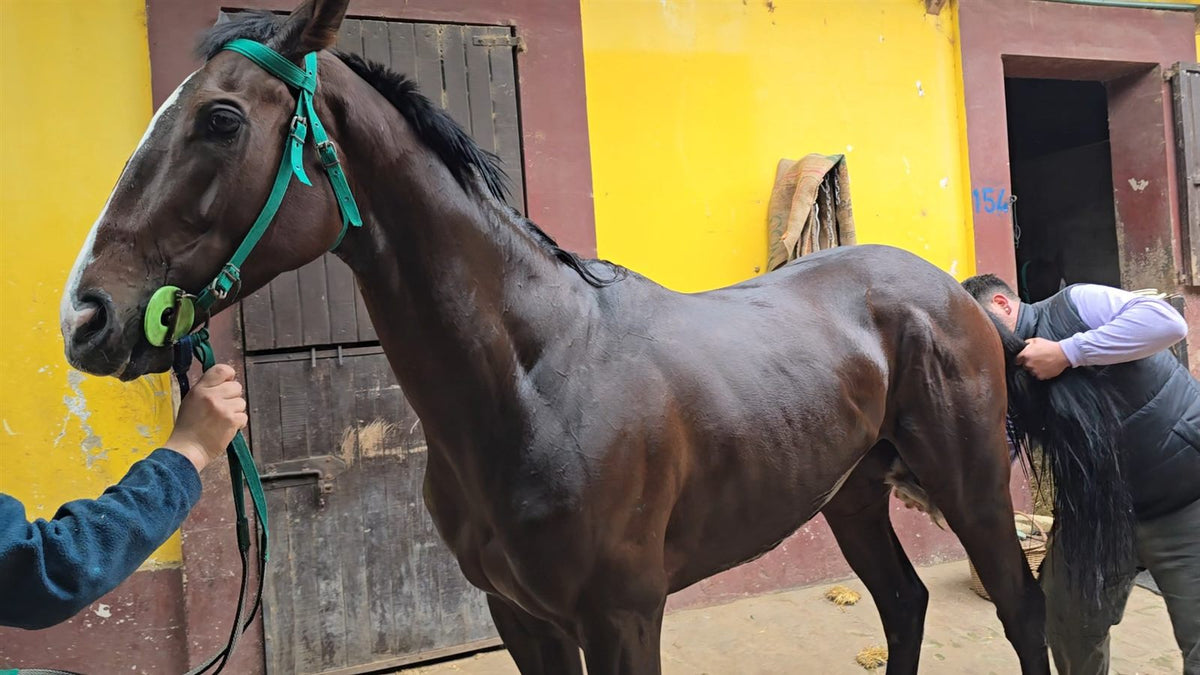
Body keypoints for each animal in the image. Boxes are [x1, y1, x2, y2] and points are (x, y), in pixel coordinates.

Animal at [57, 2, 1048, 672]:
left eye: (221, 119)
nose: (86, 316)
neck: (535, 379)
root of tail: (948, 290)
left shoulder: (623, 618)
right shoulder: (521, 618)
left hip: (971, 488)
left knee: (1021, 602)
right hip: (850, 493)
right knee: (904, 602)